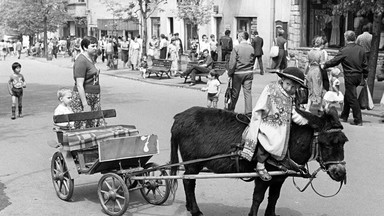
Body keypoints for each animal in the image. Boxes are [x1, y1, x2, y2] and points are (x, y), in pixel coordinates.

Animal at [170, 106, 346, 216]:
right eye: (327, 144)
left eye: (344, 142)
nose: (341, 174)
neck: (288, 142)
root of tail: (179, 117)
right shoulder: (263, 176)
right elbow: (258, 198)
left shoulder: (279, 177)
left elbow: (274, 197)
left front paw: (271, 214)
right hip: (193, 163)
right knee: (188, 182)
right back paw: (195, 210)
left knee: (186, 180)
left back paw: (189, 207)